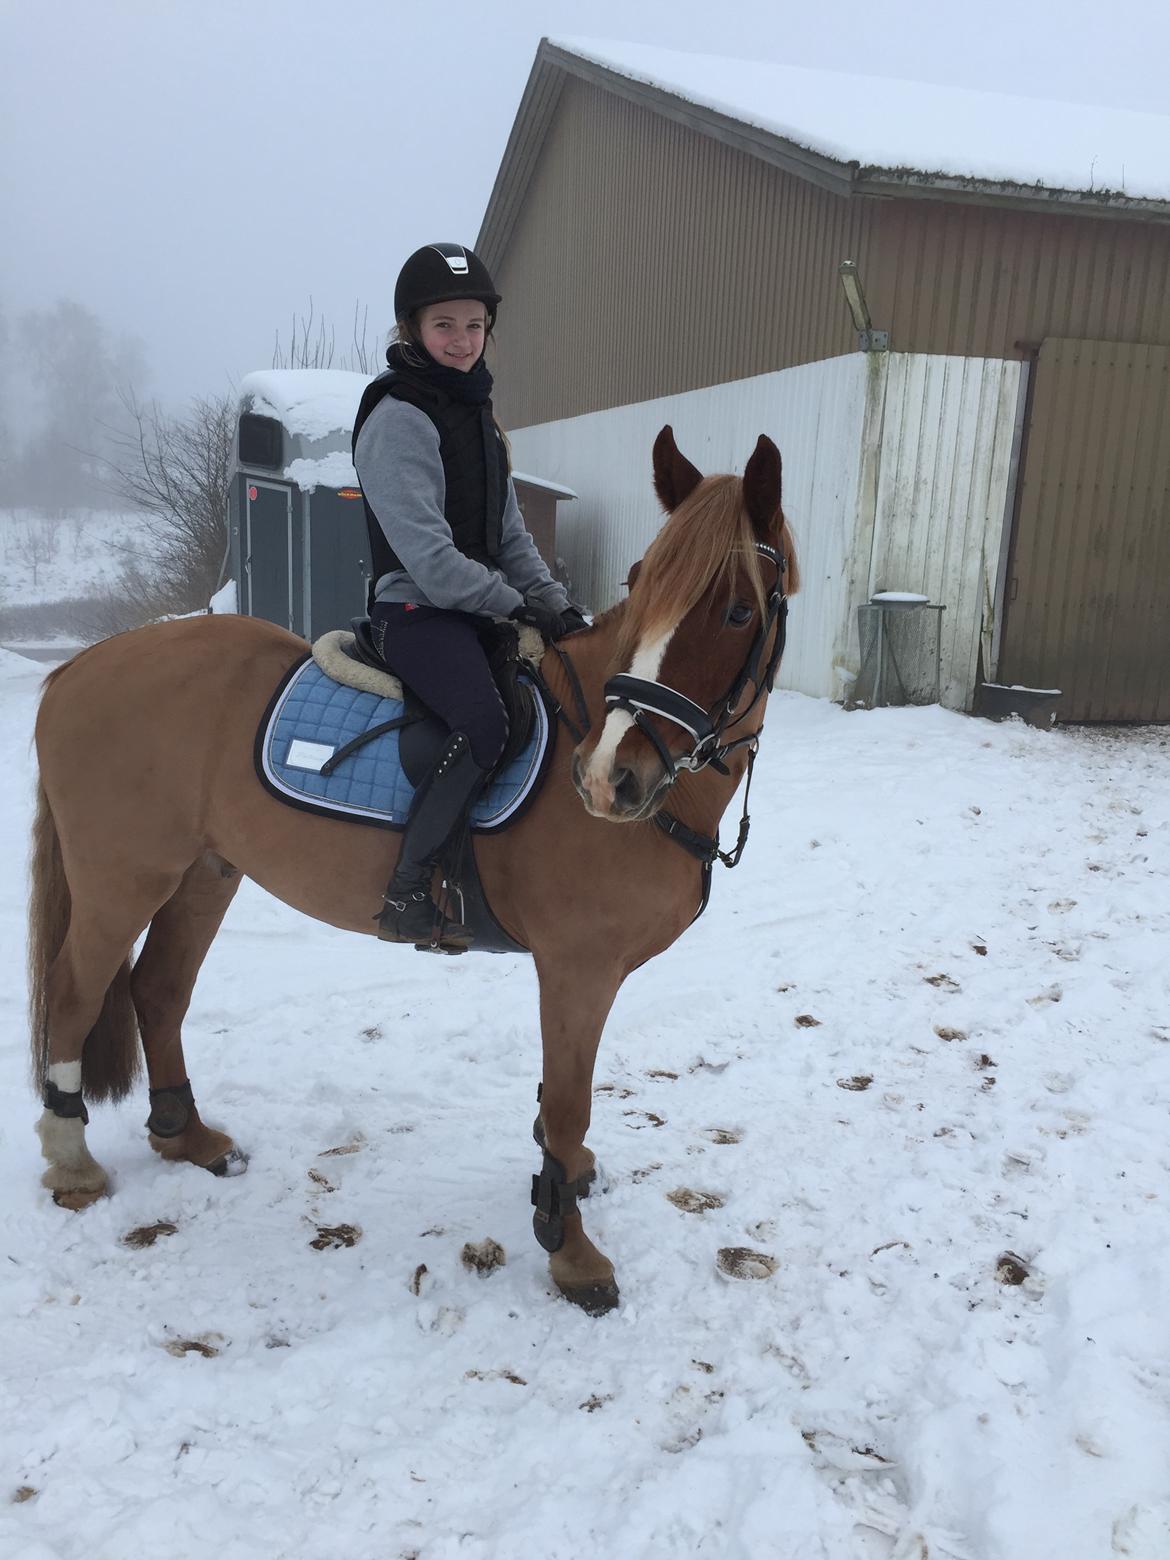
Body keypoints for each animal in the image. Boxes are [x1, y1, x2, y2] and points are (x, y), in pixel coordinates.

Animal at [29, 427, 798, 1316]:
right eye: (639, 589)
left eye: (737, 610)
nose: (609, 778)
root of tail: (79, 669)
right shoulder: (577, 968)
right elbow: (569, 1103)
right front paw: (570, 1253)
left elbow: (559, 1107)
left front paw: (567, 1183)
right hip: (123, 878)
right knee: (77, 993)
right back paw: (73, 1162)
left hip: (204, 873)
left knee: (157, 990)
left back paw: (188, 1137)